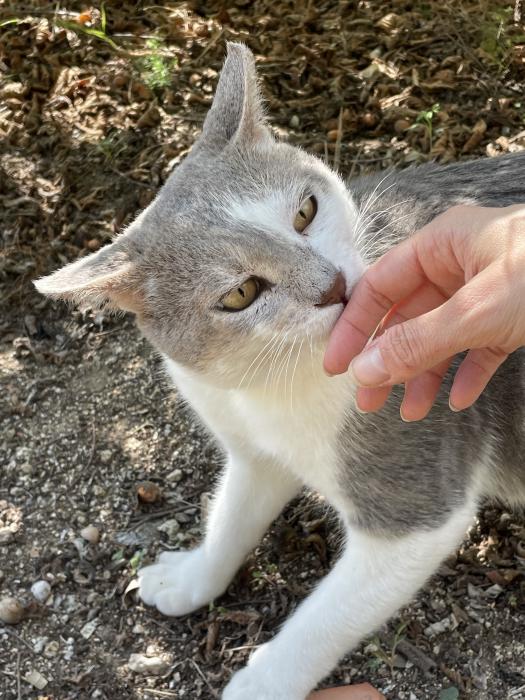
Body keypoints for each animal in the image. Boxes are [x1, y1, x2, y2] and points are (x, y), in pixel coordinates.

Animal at [35, 43, 524, 700]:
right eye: (241, 293)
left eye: (305, 211)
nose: (332, 285)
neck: (273, 384)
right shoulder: (253, 448)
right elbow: (234, 515)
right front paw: (192, 576)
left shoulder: (415, 499)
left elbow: (326, 617)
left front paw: (261, 681)